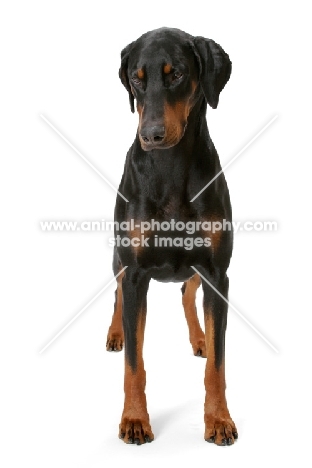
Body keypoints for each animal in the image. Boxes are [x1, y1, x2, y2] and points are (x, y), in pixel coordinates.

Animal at [105, 26, 236, 446]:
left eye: (176, 74)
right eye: (136, 79)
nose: (151, 135)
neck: (170, 168)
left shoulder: (217, 273)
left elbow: (217, 364)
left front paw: (218, 420)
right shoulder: (135, 272)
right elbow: (134, 364)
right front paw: (134, 420)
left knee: (185, 290)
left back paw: (199, 337)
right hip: (118, 256)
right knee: (118, 293)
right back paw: (116, 332)